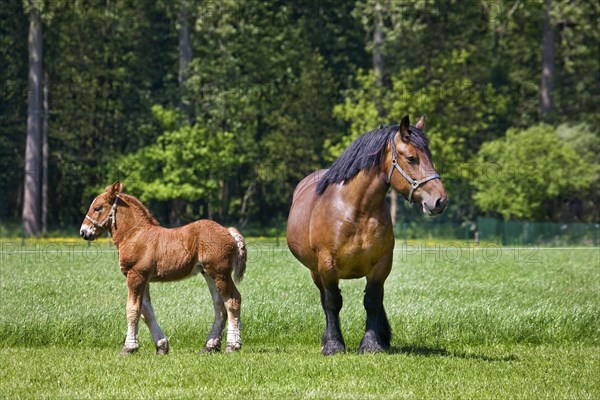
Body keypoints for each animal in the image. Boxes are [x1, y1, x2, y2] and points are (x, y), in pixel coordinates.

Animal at [80, 181, 246, 354]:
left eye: (98, 207)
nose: (84, 232)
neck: (135, 235)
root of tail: (229, 231)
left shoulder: (136, 275)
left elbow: (133, 309)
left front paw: (129, 347)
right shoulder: (144, 278)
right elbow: (146, 311)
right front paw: (161, 345)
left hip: (221, 273)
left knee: (232, 301)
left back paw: (232, 345)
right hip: (208, 273)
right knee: (219, 305)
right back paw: (210, 346)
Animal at [288, 116, 448, 356]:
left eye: (430, 157)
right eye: (411, 158)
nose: (440, 200)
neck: (356, 211)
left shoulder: (381, 265)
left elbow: (372, 301)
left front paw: (372, 344)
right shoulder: (327, 265)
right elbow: (332, 302)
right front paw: (333, 345)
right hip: (315, 271)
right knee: (324, 299)